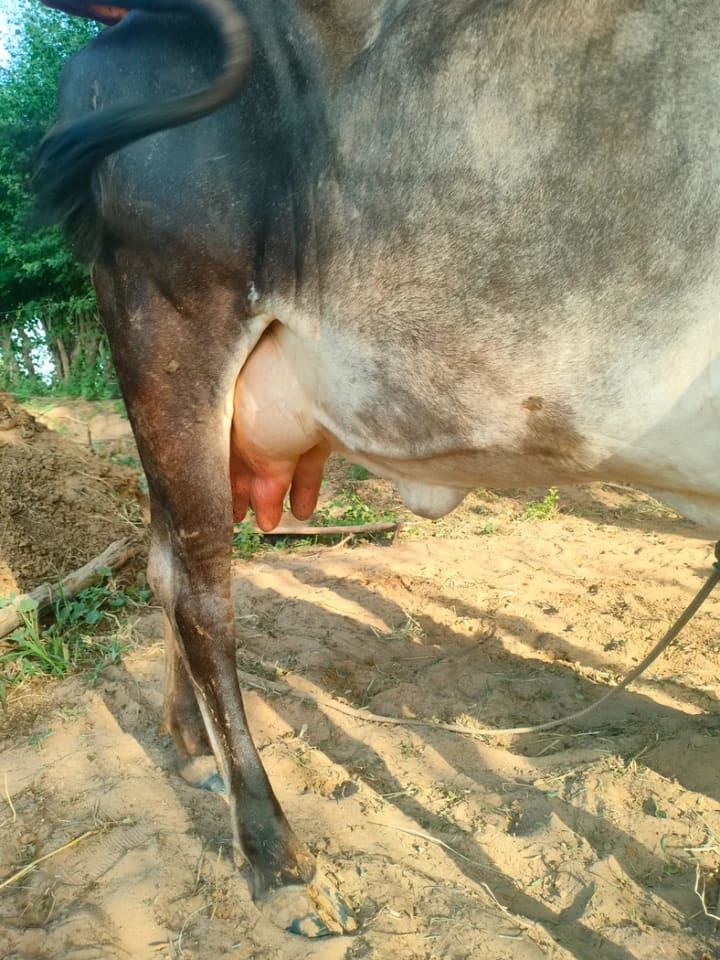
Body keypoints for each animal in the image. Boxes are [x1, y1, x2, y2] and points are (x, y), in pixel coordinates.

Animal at [33, 0, 720, 938]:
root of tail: (120, 36)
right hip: (168, 331)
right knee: (198, 588)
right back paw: (280, 860)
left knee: (162, 560)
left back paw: (191, 750)